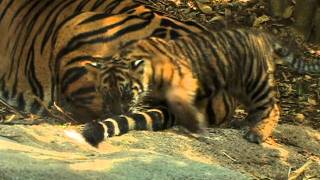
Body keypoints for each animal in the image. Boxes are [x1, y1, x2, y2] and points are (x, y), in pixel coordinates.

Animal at [82, 28, 320, 146]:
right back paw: (245, 123)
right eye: (106, 94)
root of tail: (261, 34)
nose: (114, 112)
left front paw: (196, 126)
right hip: (241, 88)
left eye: (125, 94)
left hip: (256, 79)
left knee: (273, 108)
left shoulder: (185, 81)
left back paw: (256, 133)